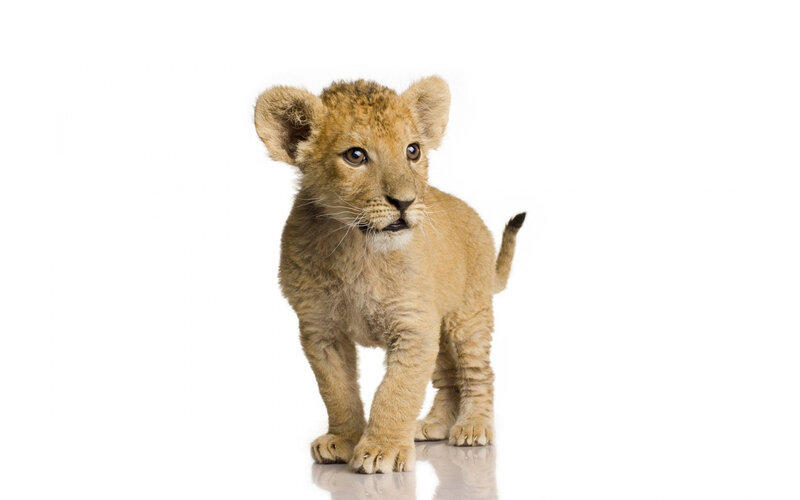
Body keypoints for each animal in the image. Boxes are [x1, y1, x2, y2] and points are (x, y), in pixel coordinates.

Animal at [254, 76, 525, 474]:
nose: (405, 202)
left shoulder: (413, 325)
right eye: (355, 156)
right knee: (448, 378)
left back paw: (473, 427)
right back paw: (434, 426)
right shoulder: (320, 329)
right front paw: (343, 440)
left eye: (413, 150)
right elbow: (337, 390)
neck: (357, 248)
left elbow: (397, 390)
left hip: (467, 316)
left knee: (477, 373)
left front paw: (383, 449)